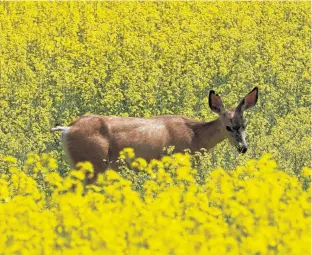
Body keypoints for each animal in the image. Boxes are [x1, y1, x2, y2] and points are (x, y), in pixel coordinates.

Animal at [50, 87, 258, 181]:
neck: (196, 136)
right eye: (228, 127)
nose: (243, 148)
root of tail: (67, 129)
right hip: (92, 164)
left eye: (244, 124)